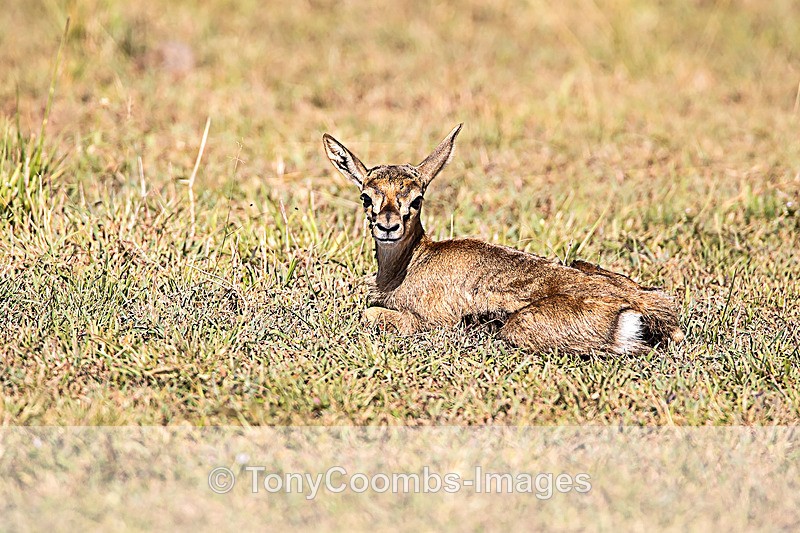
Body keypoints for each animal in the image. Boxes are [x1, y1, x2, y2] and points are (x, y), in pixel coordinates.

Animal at [323, 125, 684, 355]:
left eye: (417, 198)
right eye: (366, 196)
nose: (388, 226)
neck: (407, 267)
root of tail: (647, 304)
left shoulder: (427, 320)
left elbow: (370, 314)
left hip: (520, 329)